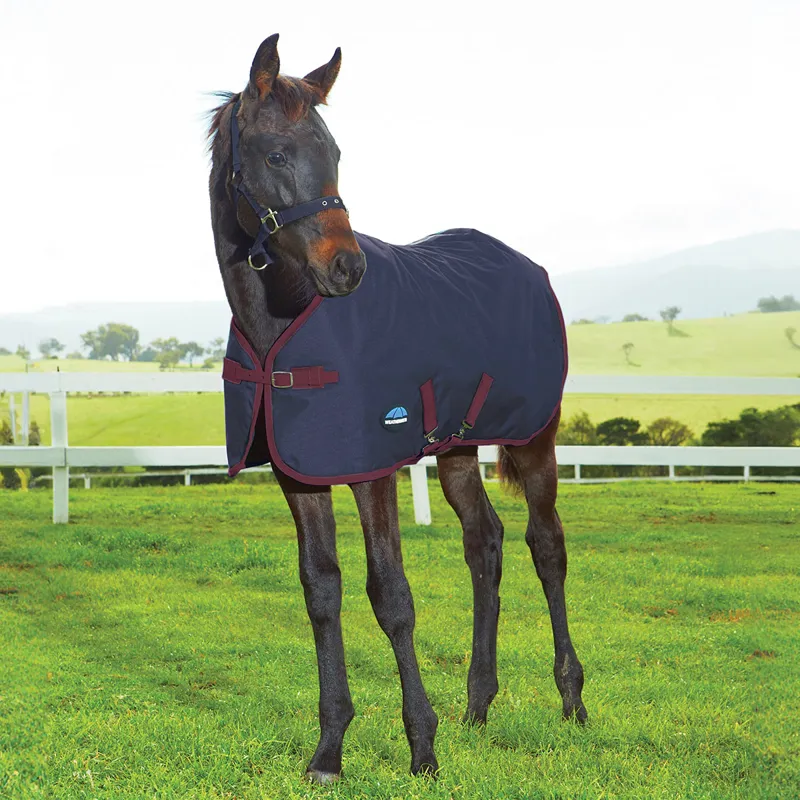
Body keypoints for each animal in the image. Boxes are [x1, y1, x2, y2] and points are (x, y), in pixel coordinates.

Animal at [207, 33, 586, 783]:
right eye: (276, 153)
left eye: (336, 151)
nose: (347, 268)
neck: (284, 326)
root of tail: (528, 266)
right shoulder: (301, 475)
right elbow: (321, 592)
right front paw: (329, 750)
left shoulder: (372, 469)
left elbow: (391, 596)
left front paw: (421, 747)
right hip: (460, 447)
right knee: (485, 543)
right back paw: (478, 705)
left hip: (535, 438)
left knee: (546, 545)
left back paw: (571, 700)